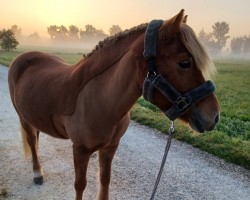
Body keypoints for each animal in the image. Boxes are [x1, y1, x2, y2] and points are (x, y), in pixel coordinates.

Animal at [8, 9, 219, 200]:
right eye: (184, 63)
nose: (214, 116)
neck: (100, 101)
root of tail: (22, 58)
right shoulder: (80, 150)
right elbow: (80, 185)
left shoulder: (110, 148)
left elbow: (105, 180)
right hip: (23, 118)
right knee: (31, 141)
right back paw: (37, 173)